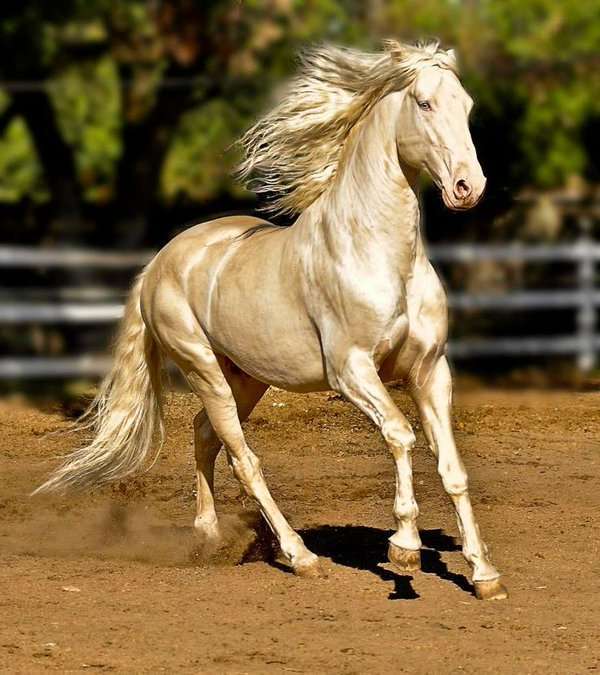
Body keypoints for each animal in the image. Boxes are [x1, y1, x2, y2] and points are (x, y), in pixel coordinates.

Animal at [34, 40, 507, 600]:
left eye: (467, 105)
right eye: (424, 103)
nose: (468, 186)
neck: (380, 255)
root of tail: (160, 262)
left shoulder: (430, 370)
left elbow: (451, 467)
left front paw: (484, 575)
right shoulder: (351, 372)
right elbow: (401, 436)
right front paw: (404, 549)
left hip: (246, 378)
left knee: (204, 435)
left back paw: (209, 538)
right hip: (203, 369)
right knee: (243, 458)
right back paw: (301, 556)